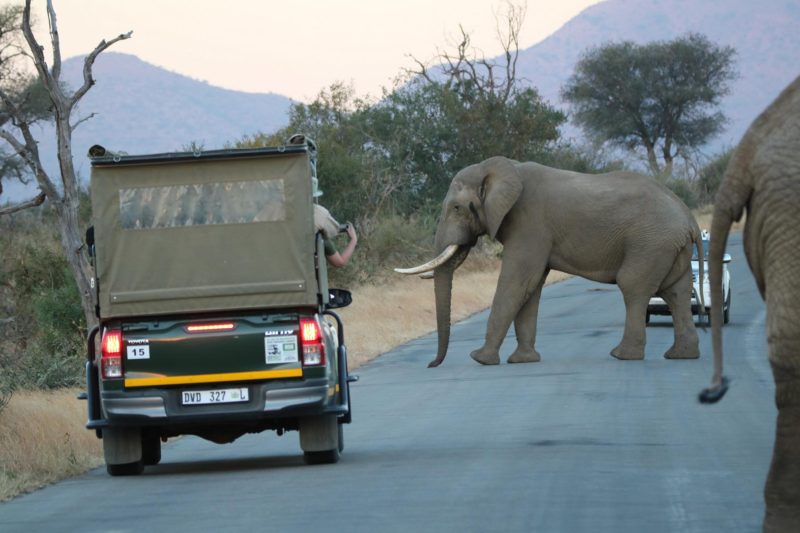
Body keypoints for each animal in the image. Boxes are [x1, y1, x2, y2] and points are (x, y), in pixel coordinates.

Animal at [396, 156, 704, 368]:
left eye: (457, 208)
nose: (431, 364)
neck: (504, 168)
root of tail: (688, 218)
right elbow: (531, 287)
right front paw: (523, 361)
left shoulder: (529, 223)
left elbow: (517, 282)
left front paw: (480, 359)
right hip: (668, 247)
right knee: (676, 292)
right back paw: (680, 356)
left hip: (650, 242)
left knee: (634, 287)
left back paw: (623, 356)